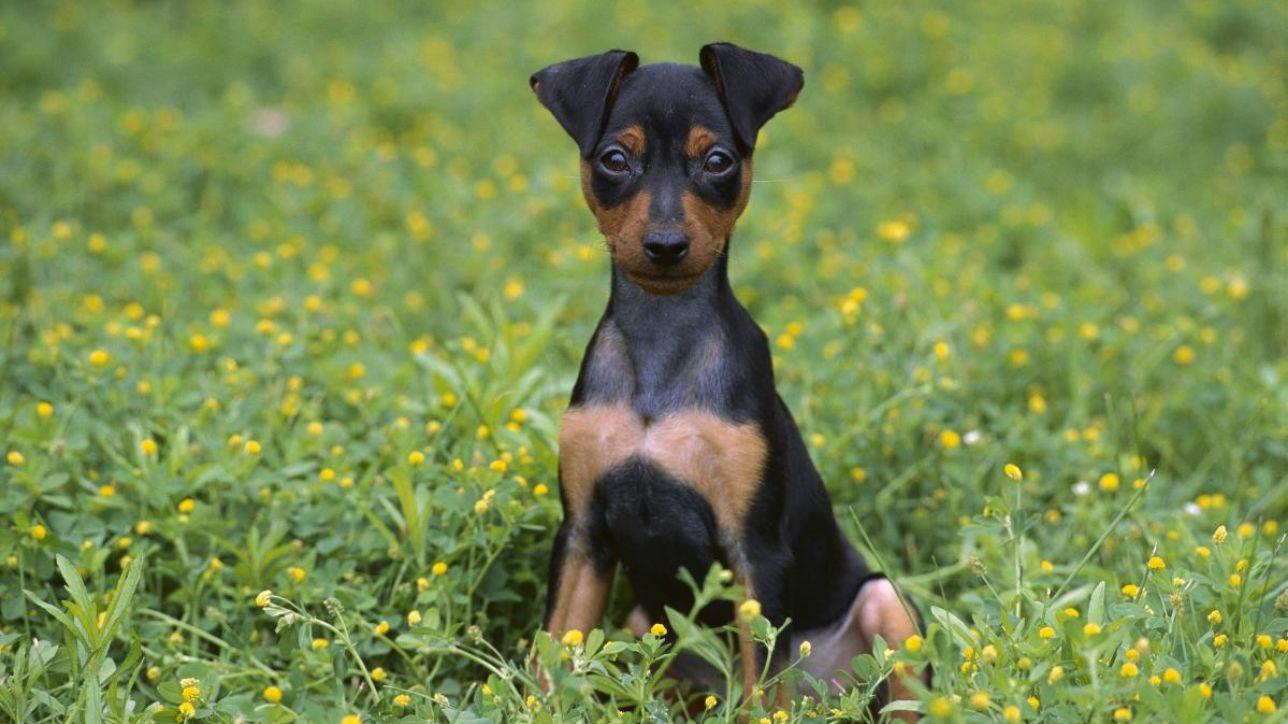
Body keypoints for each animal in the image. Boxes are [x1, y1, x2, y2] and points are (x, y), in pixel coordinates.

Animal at [533, 42, 927, 705]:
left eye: (717, 161)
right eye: (614, 159)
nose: (666, 245)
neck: (662, 348)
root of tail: (826, 691)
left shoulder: (754, 553)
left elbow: (760, 689)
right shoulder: (583, 536)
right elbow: (550, 659)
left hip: (885, 606)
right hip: (644, 625)